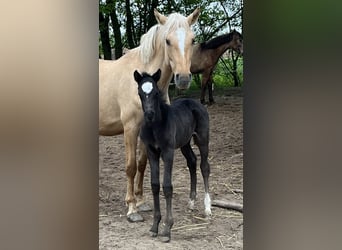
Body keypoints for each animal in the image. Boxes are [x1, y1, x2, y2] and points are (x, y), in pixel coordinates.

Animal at [99, 7, 200, 223]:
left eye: (193, 39)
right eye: (167, 41)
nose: (183, 78)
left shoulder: (147, 130)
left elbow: (142, 164)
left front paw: (141, 202)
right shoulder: (130, 129)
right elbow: (130, 165)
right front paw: (132, 209)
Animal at [134, 69, 211, 242]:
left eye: (156, 92)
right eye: (140, 93)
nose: (149, 114)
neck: (155, 126)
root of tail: (195, 102)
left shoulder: (168, 151)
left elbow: (167, 186)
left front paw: (167, 229)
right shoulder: (152, 152)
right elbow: (155, 185)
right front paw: (154, 226)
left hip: (202, 139)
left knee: (204, 167)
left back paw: (207, 207)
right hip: (185, 143)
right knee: (192, 162)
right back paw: (191, 202)